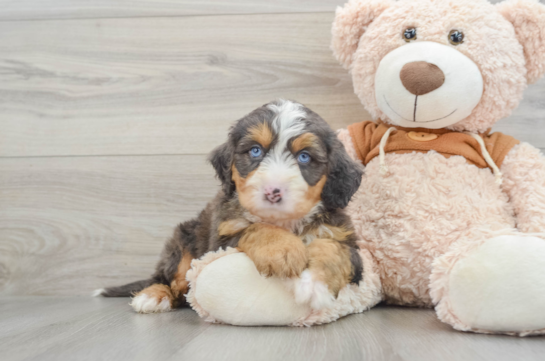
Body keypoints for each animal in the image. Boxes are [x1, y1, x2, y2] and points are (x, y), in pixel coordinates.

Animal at [95, 99, 364, 312]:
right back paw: (153, 296)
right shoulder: (221, 239)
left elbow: (333, 249)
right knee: (170, 279)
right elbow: (256, 228)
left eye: (304, 157)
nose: (272, 191)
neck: (284, 222)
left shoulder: (347, 241)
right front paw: (283, 250)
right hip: (183, 240)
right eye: (255, 151)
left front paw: (316, 286)